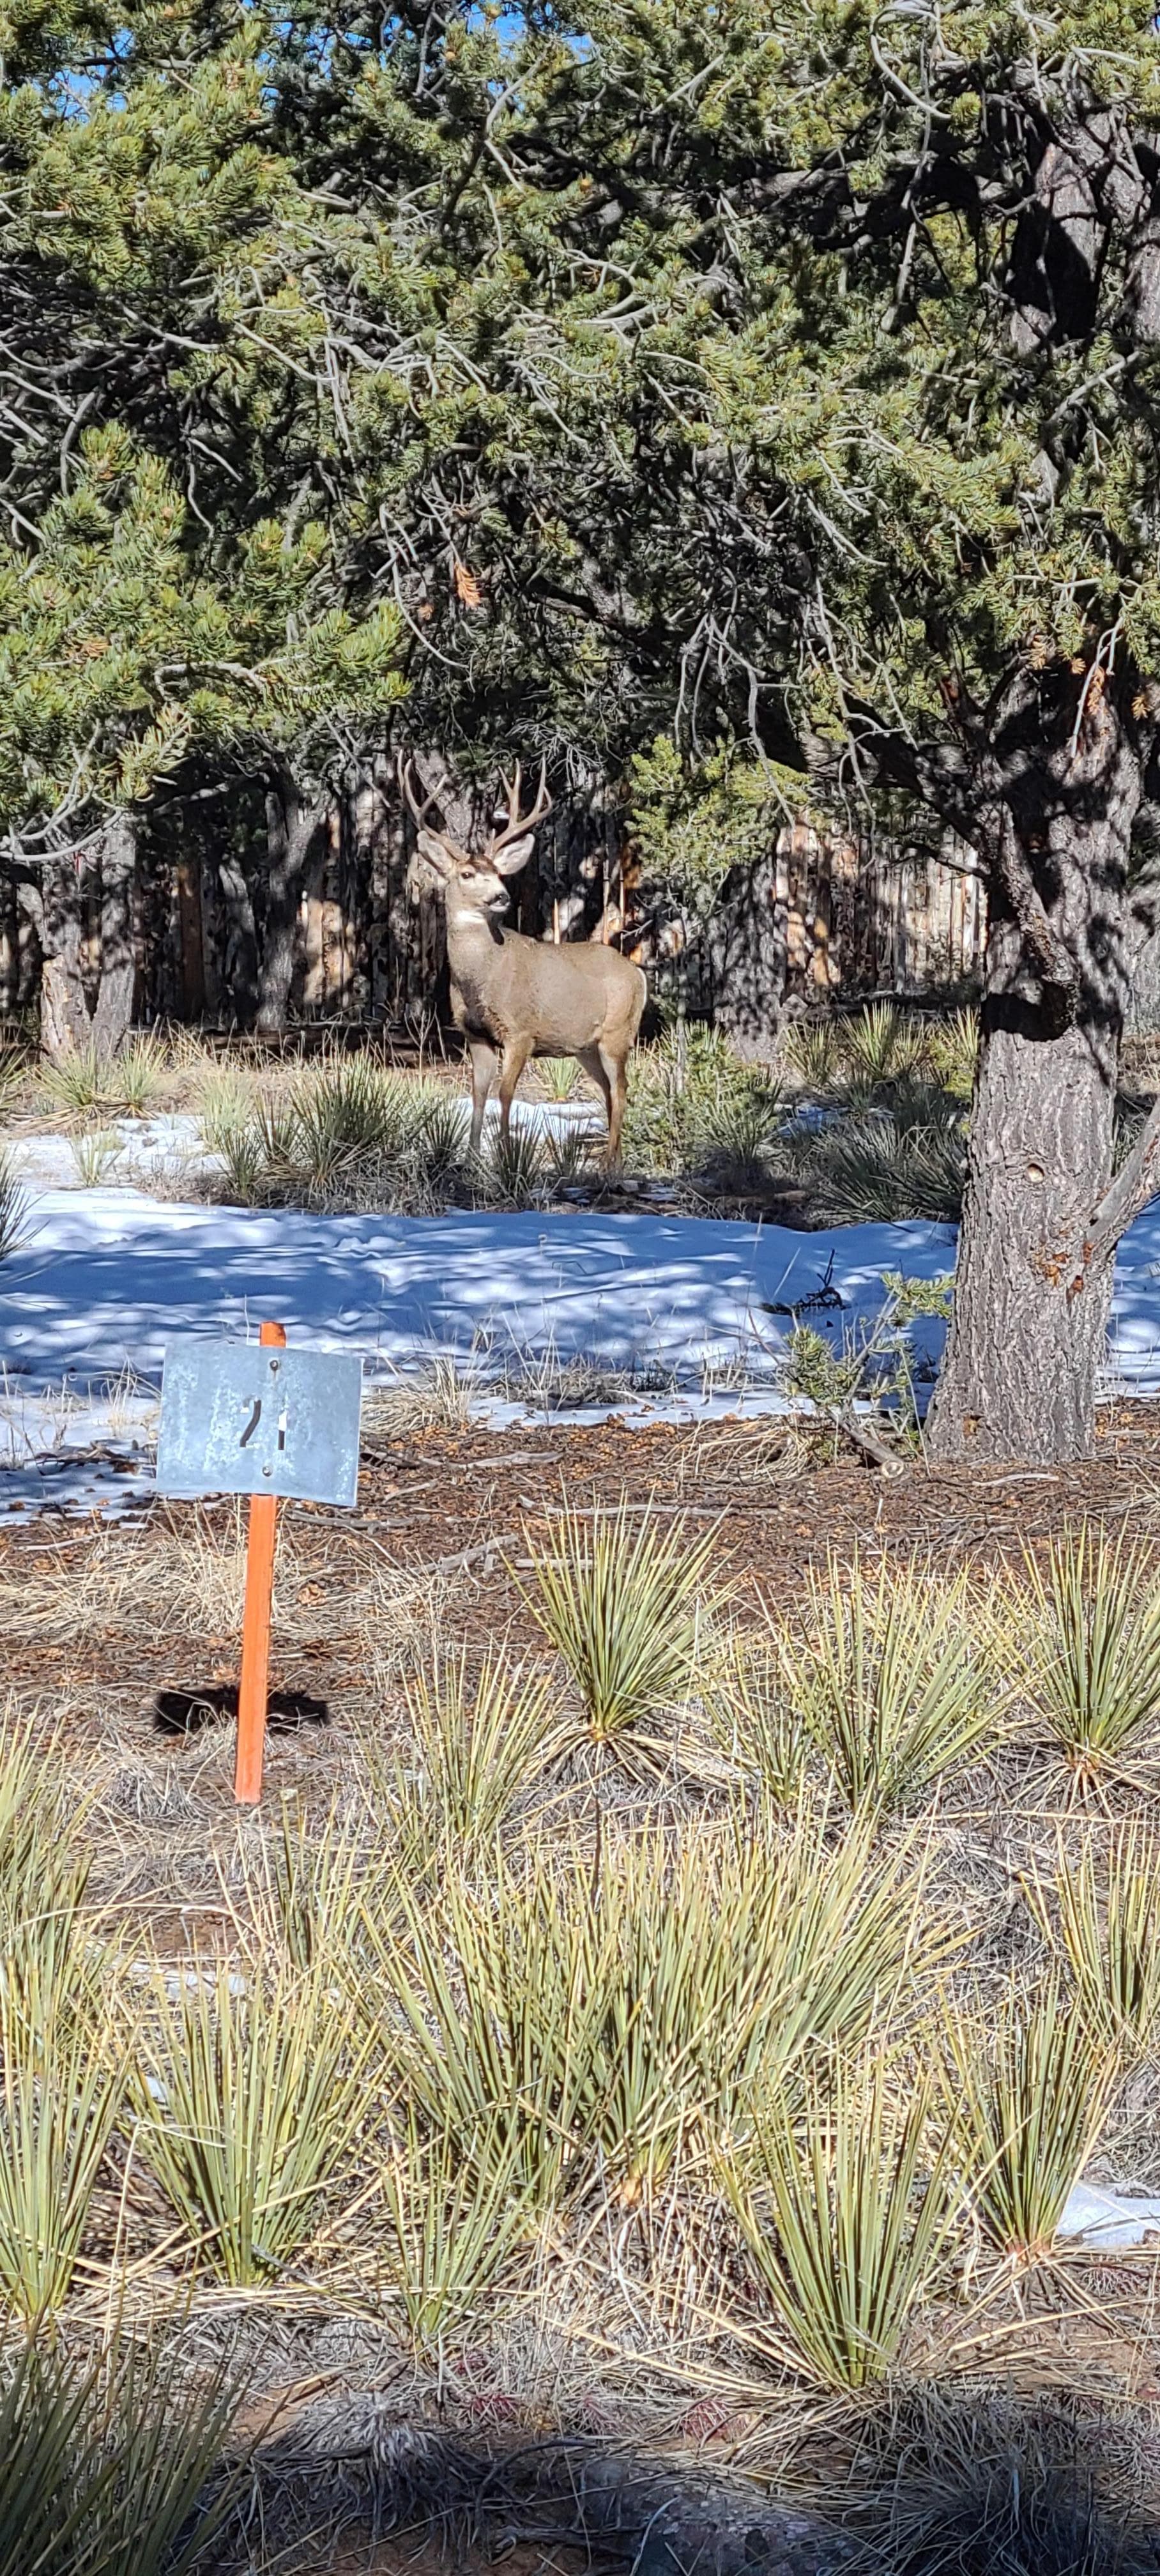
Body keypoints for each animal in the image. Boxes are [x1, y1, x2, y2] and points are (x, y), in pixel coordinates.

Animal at [399, 757, 647, 1163]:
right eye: (467, 874)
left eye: (500, 873)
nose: (501, 896)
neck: (481, 979)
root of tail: (638, 974)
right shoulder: (475, 1034)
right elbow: (478, 1094)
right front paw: (471, 1158)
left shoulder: (521, 1031)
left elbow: (505, 1093)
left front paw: (506, 1156)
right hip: (586, 1046)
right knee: (608, 1091)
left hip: (617, 1032)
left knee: (622, 1088)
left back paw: (611, 1162)